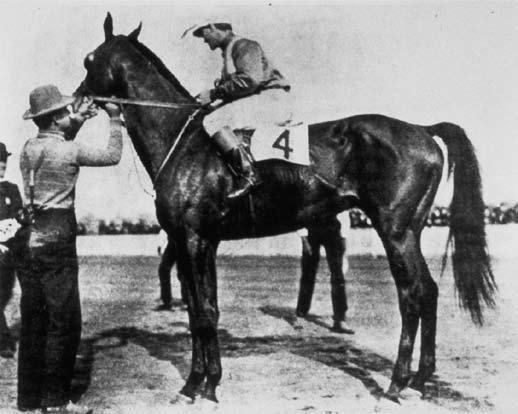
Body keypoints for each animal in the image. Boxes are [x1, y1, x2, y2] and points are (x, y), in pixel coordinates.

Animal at [76, 14, 496, 402]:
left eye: (88, 59)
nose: (77, 101)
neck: (184, 143)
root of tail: (423, 130)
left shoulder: (193, 241)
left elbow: (202, 313)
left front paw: (198, 385)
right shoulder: (198, 243)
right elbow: (202, 309)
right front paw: (203, 383)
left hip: (395, 231)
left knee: (411, 295)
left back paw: (396, 382)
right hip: (411, 231)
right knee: (429, 291)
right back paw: (421, 379)